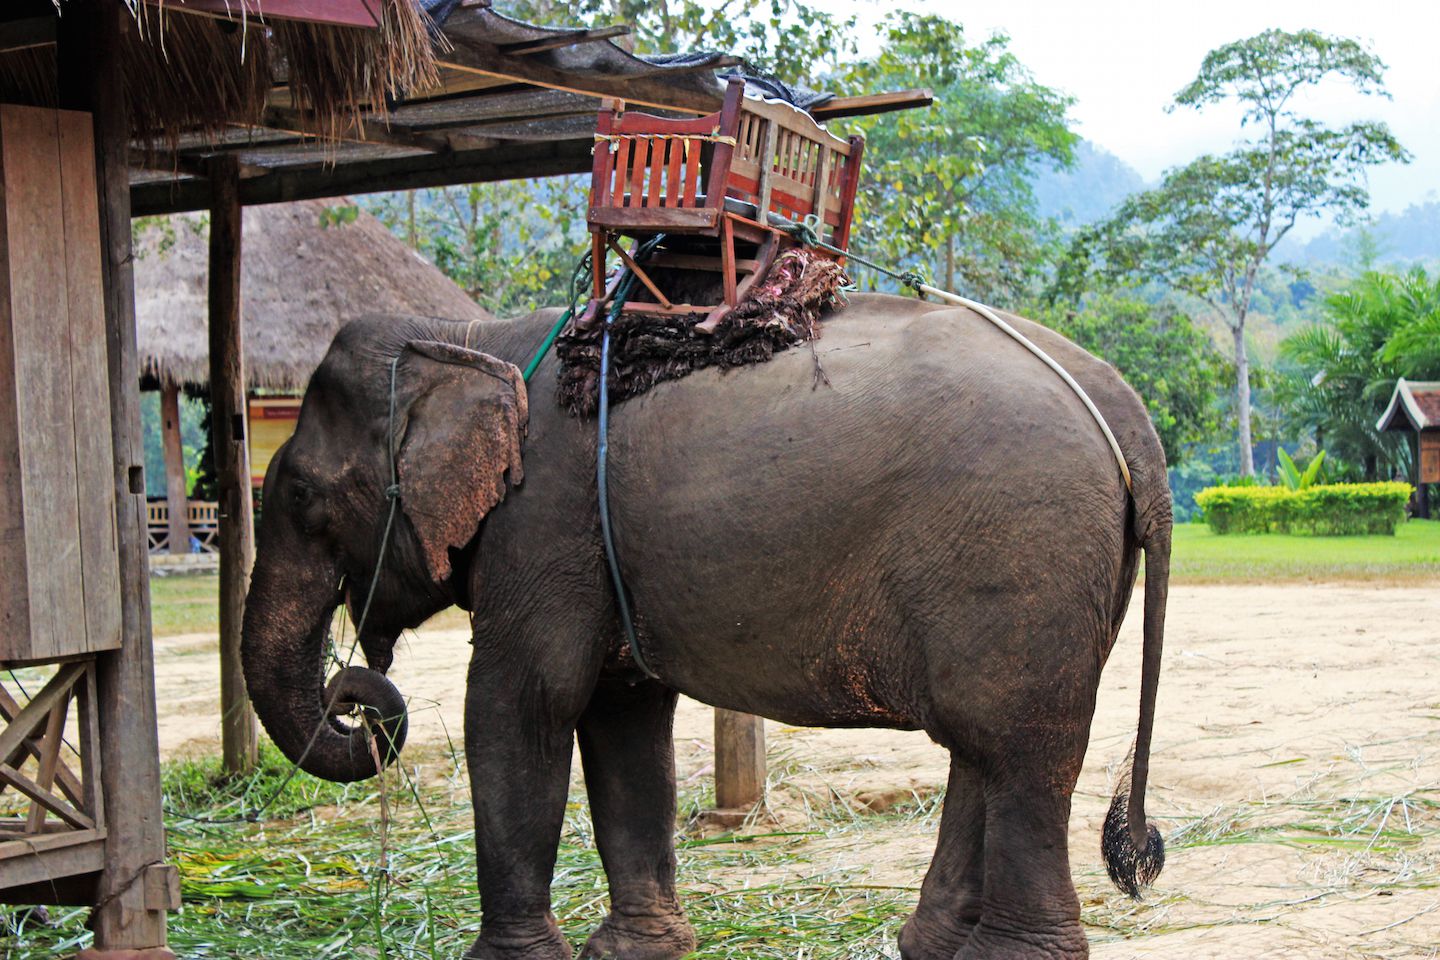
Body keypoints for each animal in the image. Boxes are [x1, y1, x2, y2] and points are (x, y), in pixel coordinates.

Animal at [241, 293, 1171, 960]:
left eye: (298, 495)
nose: (356, 695)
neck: (469, 335)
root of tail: (1126, 410)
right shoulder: (595, 552)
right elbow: (621, 721)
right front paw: (638, 952)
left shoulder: (541, 529)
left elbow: (521, 706)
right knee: (981, 746)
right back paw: (932, 946)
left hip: (1022, 554)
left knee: (1017, 749)